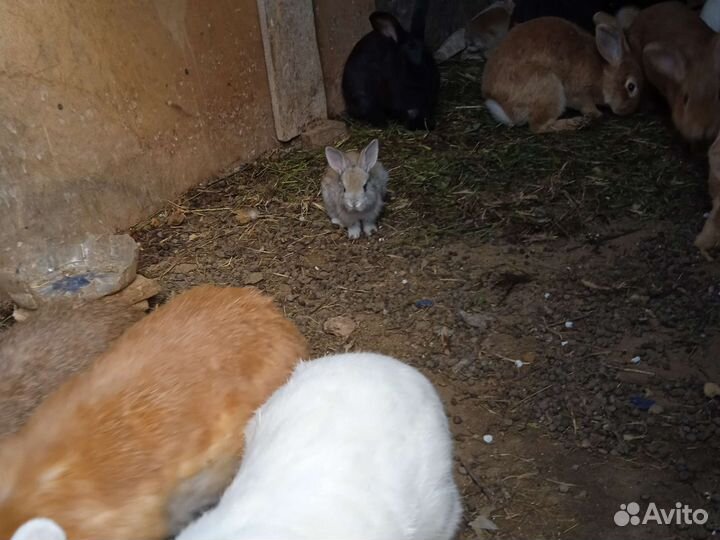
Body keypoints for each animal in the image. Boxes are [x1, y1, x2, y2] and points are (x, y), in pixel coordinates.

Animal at [482, 16, 642, 133]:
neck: (602, 73)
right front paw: (597, 114)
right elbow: (586, 105)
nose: (627, 110)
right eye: (631, 87)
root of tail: (503, 108)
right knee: (538, 126)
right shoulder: (580, 93)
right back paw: (574, 123)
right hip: (548, 87)